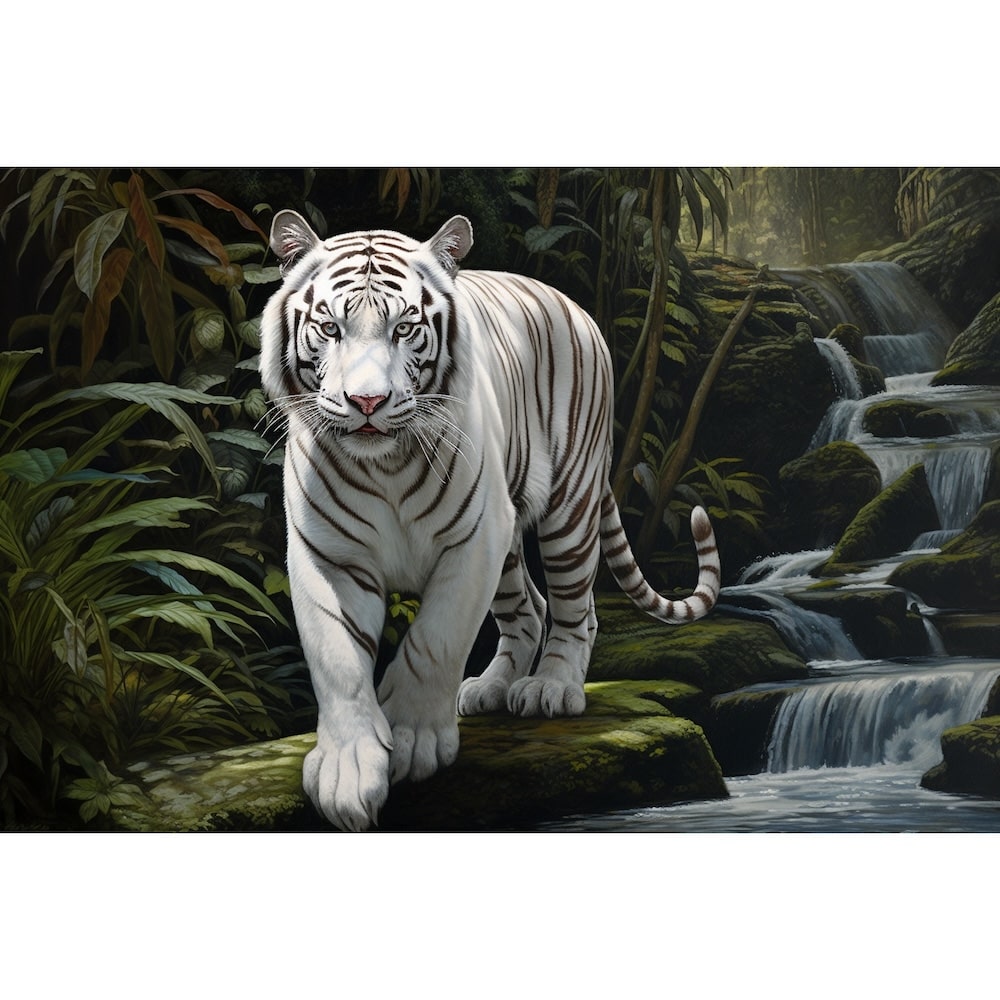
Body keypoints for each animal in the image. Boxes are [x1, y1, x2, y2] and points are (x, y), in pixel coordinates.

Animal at [260, 210, 721, 831]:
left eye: (404, 329)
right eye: (330, 328)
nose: (367, 403)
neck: (386, 464)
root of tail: (573, 304)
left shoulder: (474, 540)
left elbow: (434, 640)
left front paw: (413, 739)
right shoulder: (327, 556)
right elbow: (339, 663)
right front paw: (347, 773)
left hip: (567, 508)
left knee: (575, 609)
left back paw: (550, 687)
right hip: (508, 546)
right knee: (529, 608)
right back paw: (491, 687)